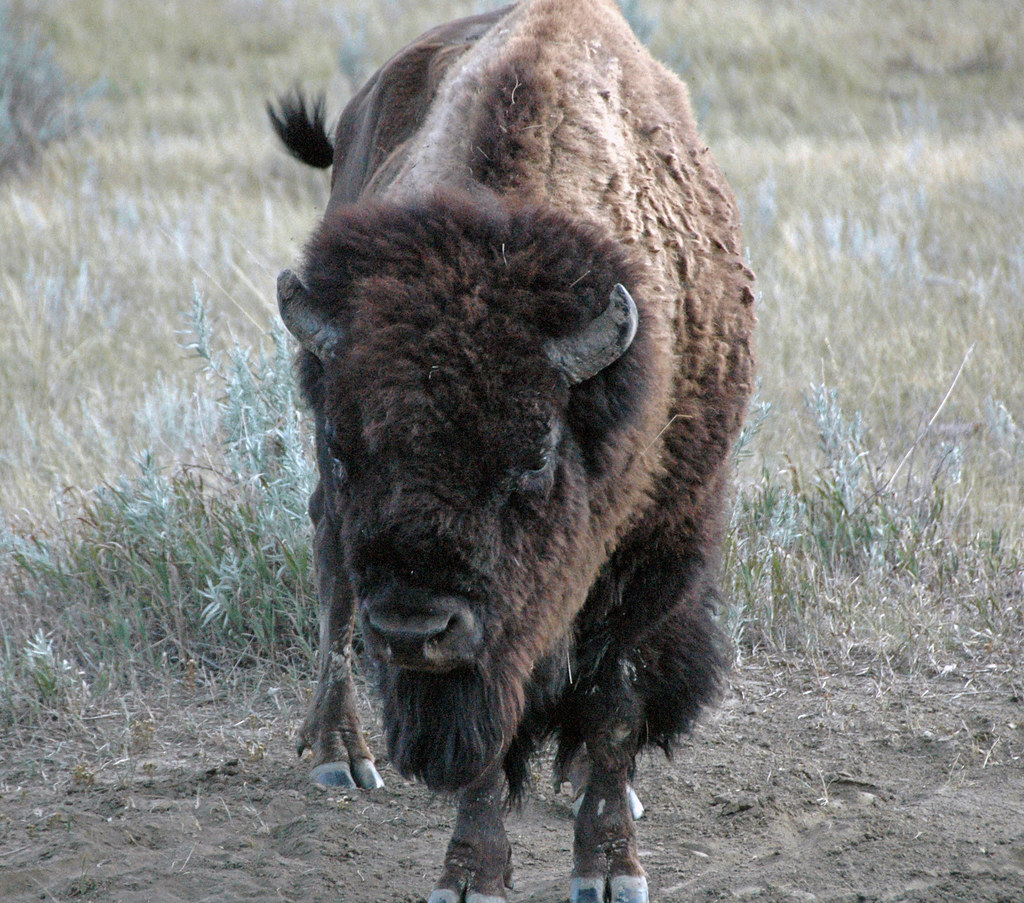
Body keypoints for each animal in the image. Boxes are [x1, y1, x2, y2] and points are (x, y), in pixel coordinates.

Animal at [268, 1, 756, 901]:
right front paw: (472, 874)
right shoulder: (484, 640)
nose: (414, 625)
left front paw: (611, 867)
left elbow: (614, 707)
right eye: (346, 451)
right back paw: (338, 753)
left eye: (531, 457)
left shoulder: (654, 550)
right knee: (329, 565)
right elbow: (489, 743)